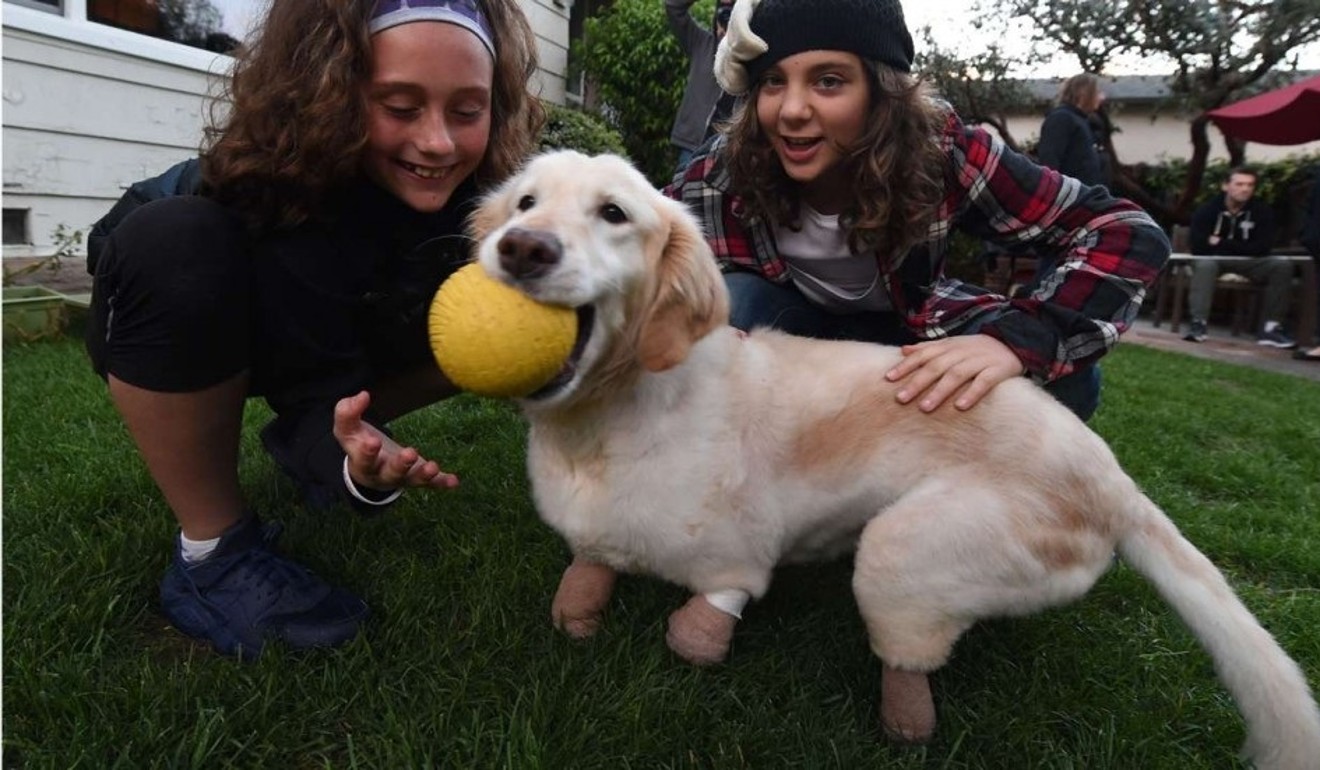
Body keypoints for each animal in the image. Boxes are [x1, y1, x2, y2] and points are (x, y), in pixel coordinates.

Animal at [467, 150, 1320, 770]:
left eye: (614, 213)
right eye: (524, 204)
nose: (522, 248)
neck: (600, 422)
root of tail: (1111, 478)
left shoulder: (738, 553)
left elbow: (714, 606)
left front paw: (694, 634)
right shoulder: (599, 531)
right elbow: (589, 570)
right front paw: (579, 606)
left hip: (902, 551)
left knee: (908, 652)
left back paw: (903, 719)